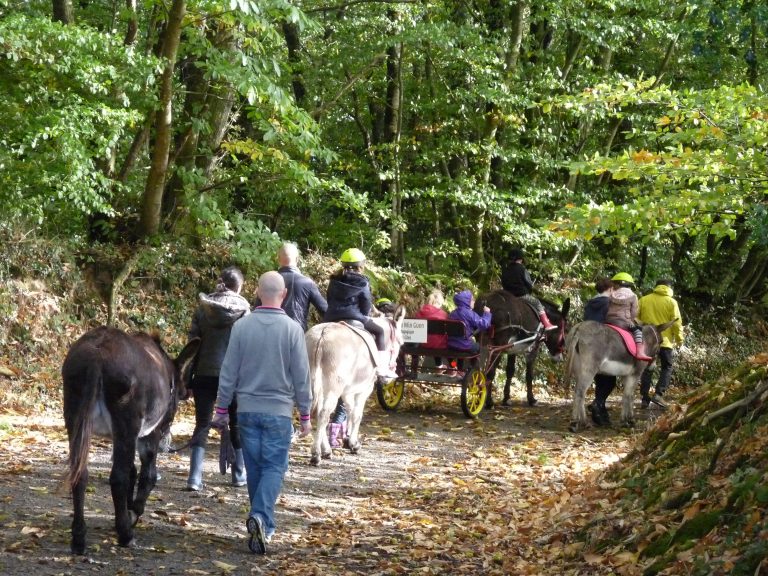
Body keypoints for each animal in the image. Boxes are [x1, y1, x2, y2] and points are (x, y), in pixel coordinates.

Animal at [62, 326, 199, 555]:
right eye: (179, 397)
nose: (167, 441)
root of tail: (97, 353)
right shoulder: (148, 435)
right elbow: (147, 475)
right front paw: (133, 513)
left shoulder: (124, 438)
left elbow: (133, 471)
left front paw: (127, 511)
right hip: (126, 421)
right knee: (118, 477)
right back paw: (125, 535)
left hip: (75, 419)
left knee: (80, 475)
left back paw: (79, 538)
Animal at [305, 307, 406, 466]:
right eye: (401, 343)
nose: (393, 369)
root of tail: (321, 336)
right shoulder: (363, 391)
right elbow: (357, 415)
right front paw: (353, 443)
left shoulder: (347, 392)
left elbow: (350, 412)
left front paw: (347, 440)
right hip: (333, 387)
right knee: (323, 414)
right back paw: (316, 454)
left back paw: (325, 449)